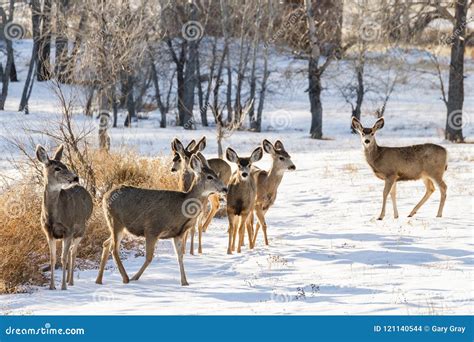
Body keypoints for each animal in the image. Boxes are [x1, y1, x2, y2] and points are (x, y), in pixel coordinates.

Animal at [35, 143, 92, 290]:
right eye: (57, 168)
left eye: (65, 165)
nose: (75, 177)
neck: (53, 216)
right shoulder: (48, 232)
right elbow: (52, 258)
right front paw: (51, 287)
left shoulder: (68, 230)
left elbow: (63, 258)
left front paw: (63, 287)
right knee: (71, 251)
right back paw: (67, 279)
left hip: (81, 230)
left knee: (73, 252)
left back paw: (70, 281)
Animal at [95, 154, 227, 284]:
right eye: (210, 177)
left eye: (216, 174)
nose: (225, 188)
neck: (181, 209)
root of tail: (105, 196)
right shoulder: (152, 228)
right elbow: (149, 258)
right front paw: (135, 278)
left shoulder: (177, 233)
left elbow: (180, 256)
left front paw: (185, 282)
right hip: (115, 220)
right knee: (114, 249)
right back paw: (126, 278)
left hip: (121, 226)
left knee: (106, 243)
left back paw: (99, 280)